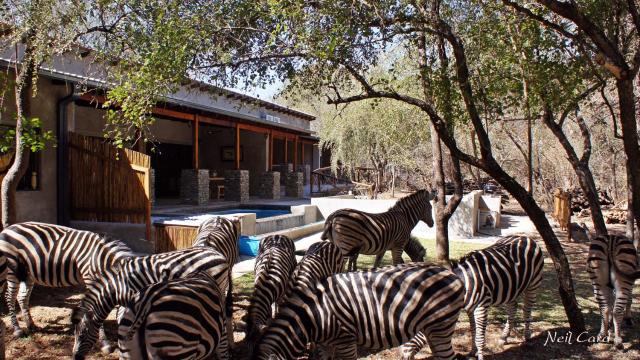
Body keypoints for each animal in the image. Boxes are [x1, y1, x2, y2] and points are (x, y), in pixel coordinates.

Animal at [0, 221, 133, 348]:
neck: (102, 261)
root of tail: (6, 229)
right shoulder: (91, 281)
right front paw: (104, 342)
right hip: (12, 269)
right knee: (9, 297)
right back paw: (17, 329)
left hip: (28, 273)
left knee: (22, 297)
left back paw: (31, 325)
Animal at [73, 246, 230, 358]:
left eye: (81, 336)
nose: (75, 357)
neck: (119, 285)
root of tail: (218, 254)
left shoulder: (132, 297)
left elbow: (120, 318)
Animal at [251, 262, 464, 360]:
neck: (313, 315)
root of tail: (450, 272)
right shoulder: (325, 343)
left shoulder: (345, 339)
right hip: (432, 328)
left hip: (440, 326)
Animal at [402, 236, 544, 360]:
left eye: (409, 333)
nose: (401, 356)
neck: (464, 283)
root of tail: (525, 237)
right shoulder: (469, 308)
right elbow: (473, 331)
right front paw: (472, 351)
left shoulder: (481, 306)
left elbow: (480, 337)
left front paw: (480, 355)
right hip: (509, 288)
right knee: (512, 308)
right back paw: (504, 337)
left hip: (534, 283)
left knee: (527, 309)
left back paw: (527, 337)